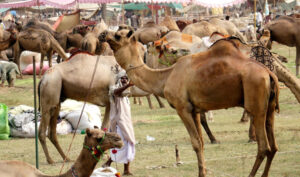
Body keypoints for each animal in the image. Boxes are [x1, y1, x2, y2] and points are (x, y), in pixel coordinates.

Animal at [105, 29, 278, 176]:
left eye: (118, 36)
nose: (104, 35)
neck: (166, 77)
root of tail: (269, 74)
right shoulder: (195, 110)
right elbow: (201, 142)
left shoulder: (183, 108)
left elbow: (195, 143)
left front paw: (201, 173)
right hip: (269, 107)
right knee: (273, 147)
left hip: (256, 101)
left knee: (264, 146)